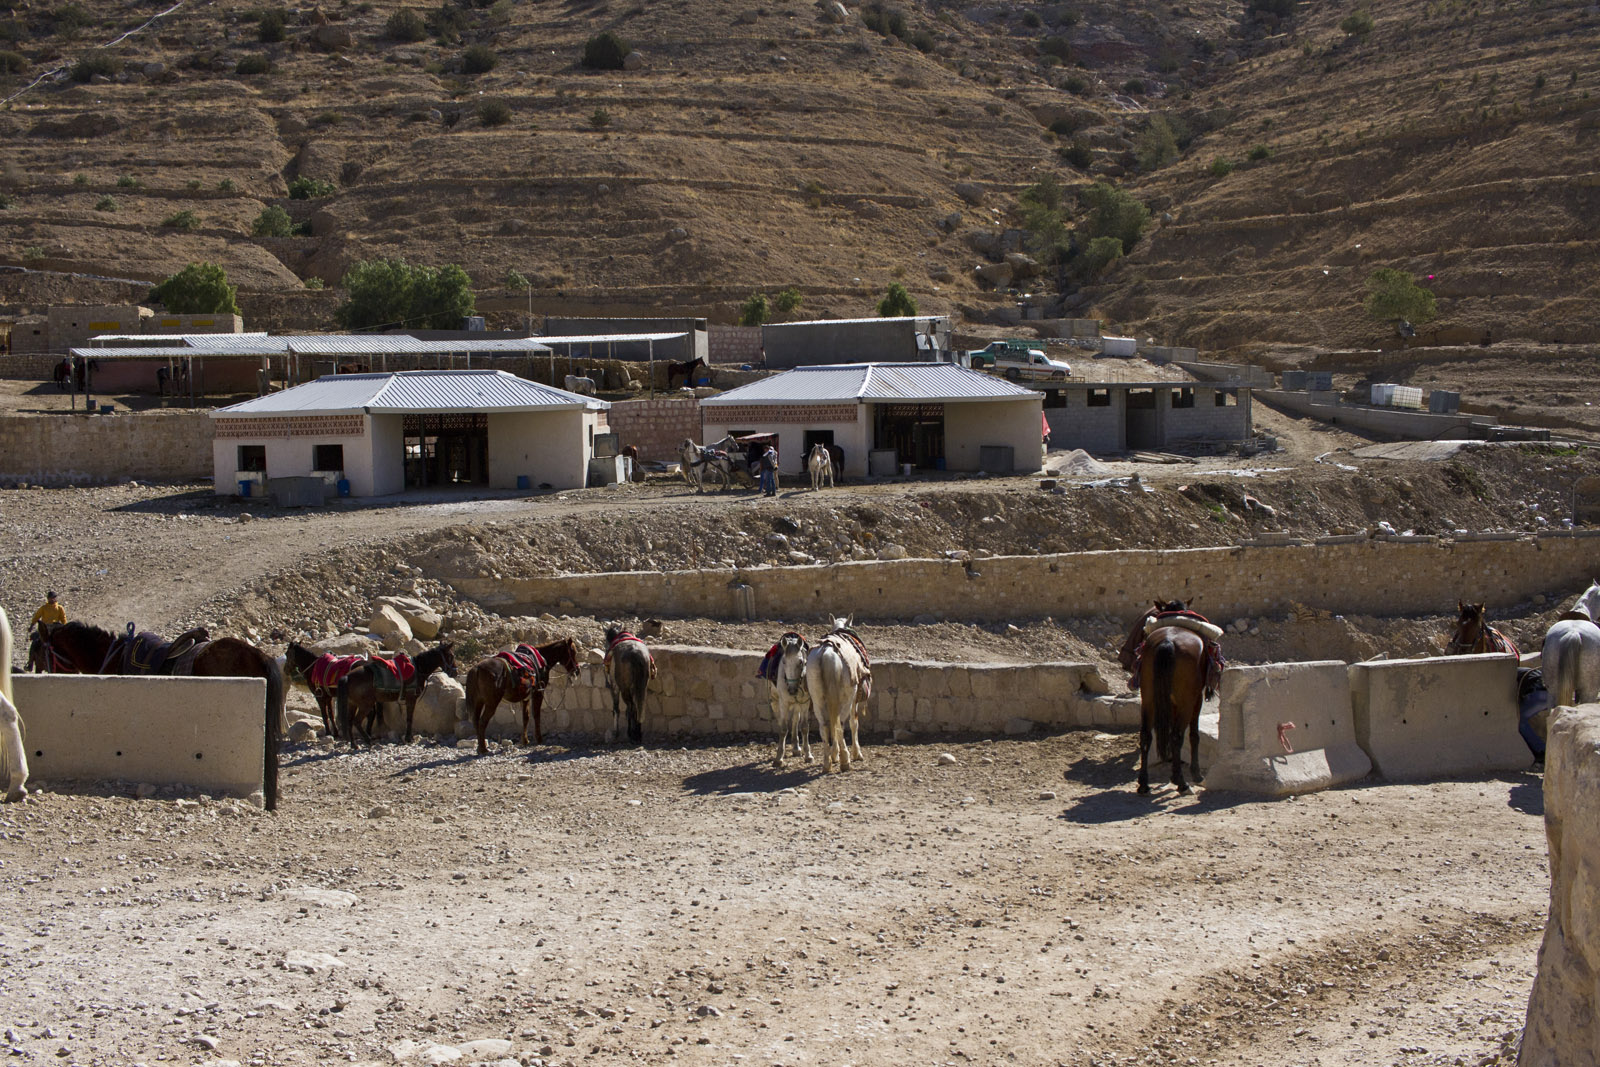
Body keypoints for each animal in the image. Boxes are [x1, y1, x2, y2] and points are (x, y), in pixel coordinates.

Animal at [761, 632, 812, 766]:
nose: (792, 690)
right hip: (775, 702)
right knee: (781, 722)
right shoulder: (783, 703)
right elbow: (783, 729)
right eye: (783, 662)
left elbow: (804, 727)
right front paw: (779, 757)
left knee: (795, 720)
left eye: (801, 662)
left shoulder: (805, 703)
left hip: (797, 704)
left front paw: (808, 755)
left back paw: (796, 748)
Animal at [806, 615, 870, 773]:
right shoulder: (854, 699)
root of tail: (827, 652)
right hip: (847, 698)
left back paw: (827, 763)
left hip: (817, 699)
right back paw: (845, 760)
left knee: (825, 726)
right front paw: (856, 753)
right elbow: (854, 723)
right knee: (840, 723)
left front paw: (834, 755)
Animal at [1123, 599, 1215, 796]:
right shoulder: (1196, 699)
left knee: (1145, 735)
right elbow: (1194, 735)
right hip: (1186, 701)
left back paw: (1143, 784)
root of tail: (1167, 643)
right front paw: (1195, 774)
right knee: (1177, 736)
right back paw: (1182, 783)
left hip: (1148, 699)